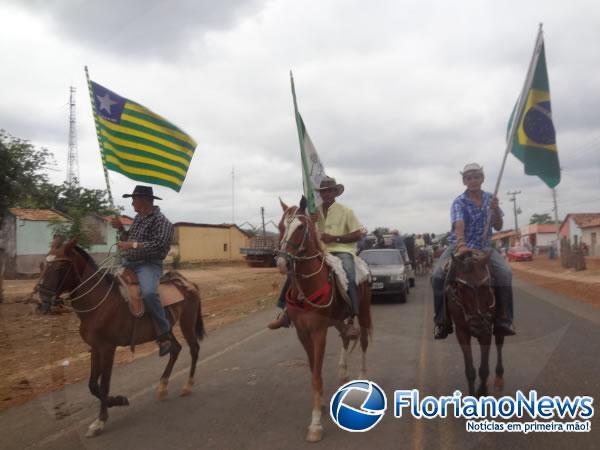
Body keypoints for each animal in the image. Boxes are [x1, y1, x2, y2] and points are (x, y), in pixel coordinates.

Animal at [38, 241, 206, 438]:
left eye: (60, 266)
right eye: (43, 265)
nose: (42, 298)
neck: (100, 304)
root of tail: (188, 283)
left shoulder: (108, 348)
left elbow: (104, 385)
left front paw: (100, 421)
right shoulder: (95, 348)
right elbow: (92, 385)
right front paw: (118, 400)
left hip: (187, 323)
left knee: (194, 349)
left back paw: (187, 386)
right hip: (167, 330)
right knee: (175, 349)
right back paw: (163, 385)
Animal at [276, 198, 370, 442]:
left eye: (300, 227)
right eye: (280, 226)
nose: (282, 262)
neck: (308, 286)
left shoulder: (319, 331)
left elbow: (316, 376)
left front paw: (315, 424)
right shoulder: (302, 332)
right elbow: (313, 371)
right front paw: (320, 403)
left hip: (364, 312)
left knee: (364, 341)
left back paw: (362, 376)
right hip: (339, 320)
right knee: (346, 338)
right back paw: (343, 376)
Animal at [448, 251, 504, 396]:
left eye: (487, 286)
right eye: (461, 288)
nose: (478, 325)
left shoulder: (486, 331)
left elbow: (484, 370)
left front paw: (482, 391)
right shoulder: (461, 332)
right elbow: (470, 371)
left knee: (499, 344)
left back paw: (499, 378)